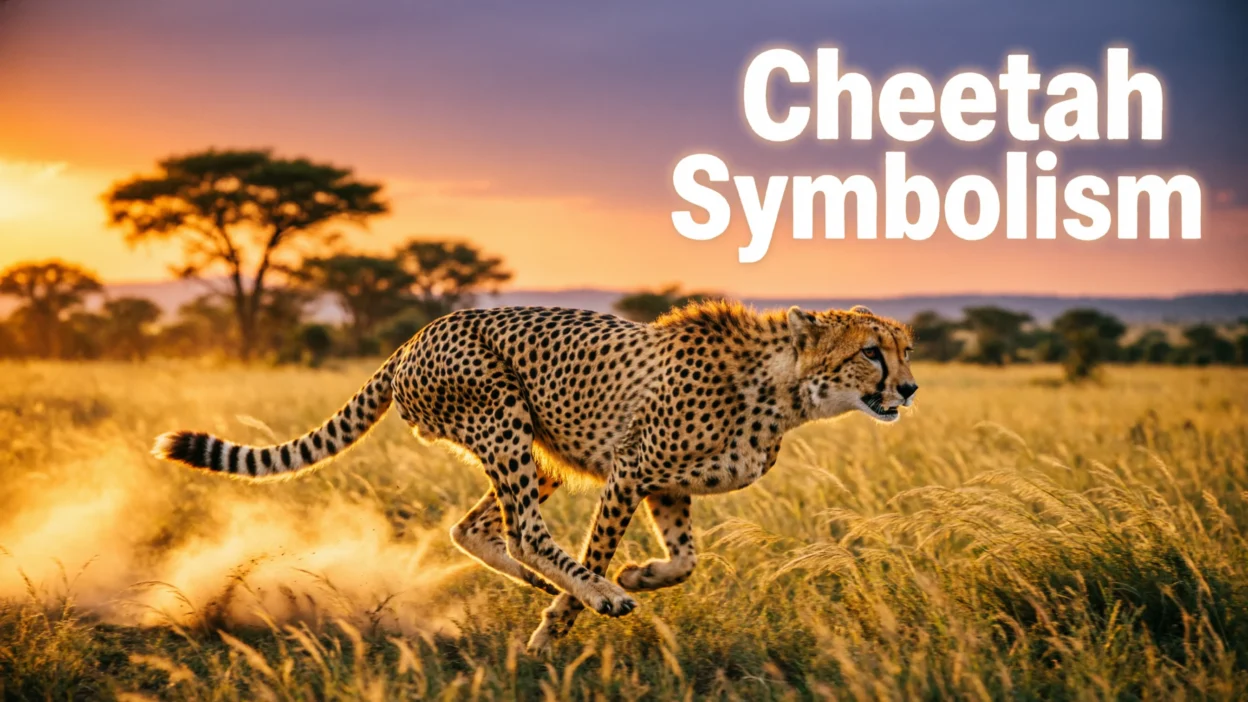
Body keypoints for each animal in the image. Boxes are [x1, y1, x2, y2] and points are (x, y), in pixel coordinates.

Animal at [153, 301, 917, 652]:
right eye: (870, 352)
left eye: (905, 349)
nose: (909, 388)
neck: (784, 390)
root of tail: (417, 334)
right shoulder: (632, 469)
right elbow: (601, 551)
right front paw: (565, 624)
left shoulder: (666, 486)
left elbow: (687, 560)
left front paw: (637, 575)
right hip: (504, 419)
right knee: (520, 527)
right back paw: (576, 593)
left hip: (542, 449)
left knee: (473, 526)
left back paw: (544, 584)